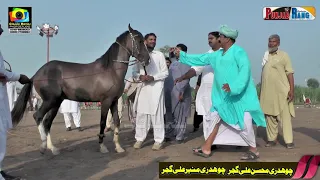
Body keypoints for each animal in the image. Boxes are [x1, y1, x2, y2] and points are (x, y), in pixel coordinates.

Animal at [10, 24, 149, 155]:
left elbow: (117, 122)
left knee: (47, 122)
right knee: (38, 116)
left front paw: (118, 147)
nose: (147, 60)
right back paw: (43, 146)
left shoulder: (114, 101)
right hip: (49, 101)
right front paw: (102, 146)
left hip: (56, 103)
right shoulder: (105, 101)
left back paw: (53, 149)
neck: (111, 70)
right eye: (139, 40)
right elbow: (102, 123)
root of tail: (36, 74)